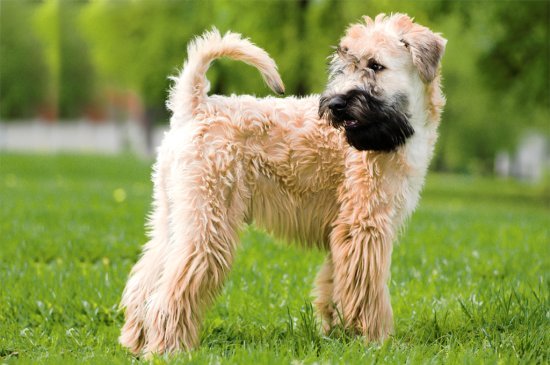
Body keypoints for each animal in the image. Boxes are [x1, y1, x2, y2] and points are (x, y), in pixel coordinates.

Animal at [119, 12, 448, 354]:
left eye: (375, 65)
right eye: (345, 64)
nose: (336, 104)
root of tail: (195, 106)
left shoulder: (343, 232)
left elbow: (337, 285)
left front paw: (339, 334)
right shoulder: (364, 227)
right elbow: (368, 290)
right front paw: (375, 340)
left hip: (173, 216)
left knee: (146, 280)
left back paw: (134, 341)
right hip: (209, 224)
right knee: (172, 289)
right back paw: (167, 348)